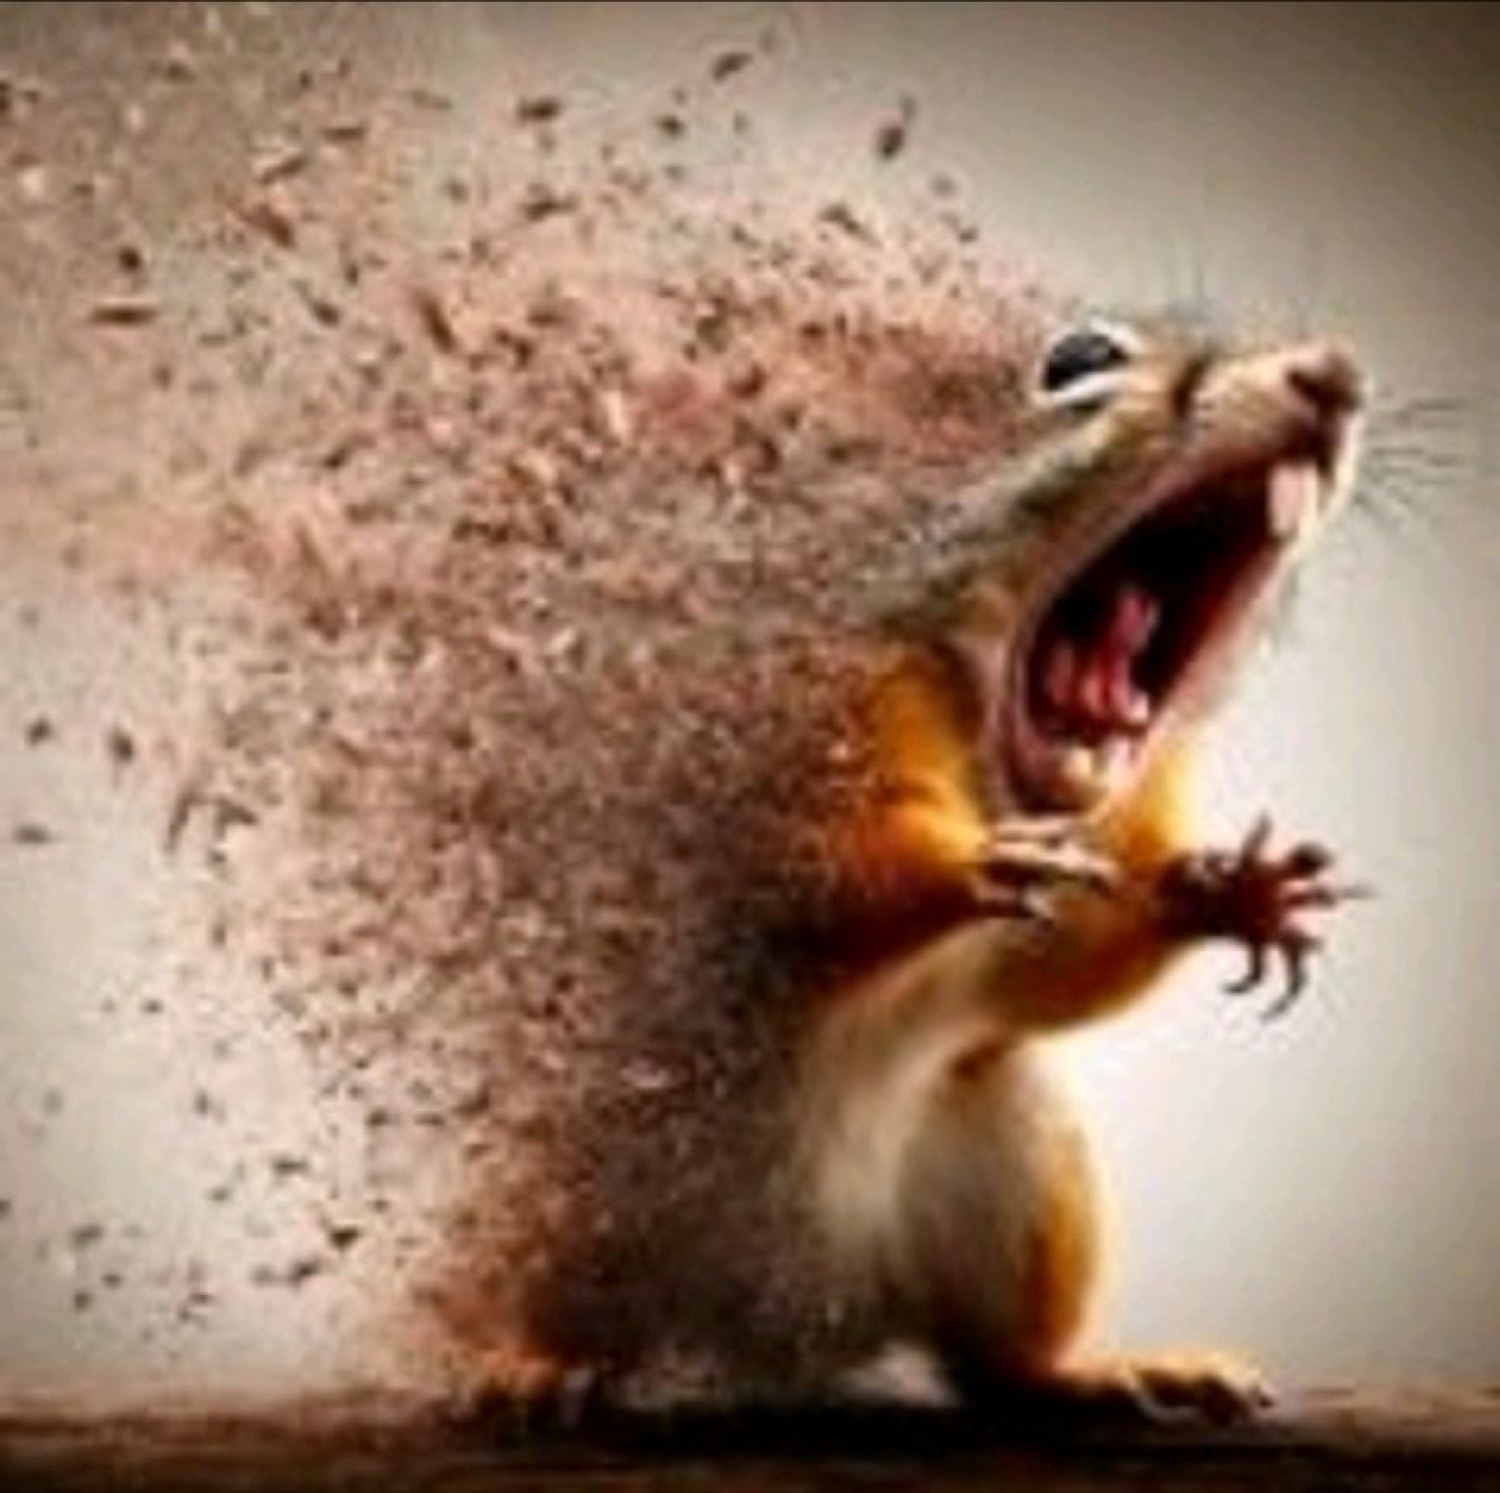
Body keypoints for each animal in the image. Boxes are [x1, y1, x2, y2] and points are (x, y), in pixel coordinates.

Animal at [429, 312, 1368, 1427]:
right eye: (1080, 360)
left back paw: (1107, 1372)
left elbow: (1059, 970)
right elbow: (817, 869)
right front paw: (966, 863)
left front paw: (1229, 890)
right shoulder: (805, 729)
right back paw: (522, 1357)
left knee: (996, 1365)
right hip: (569, 1201)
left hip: (1018, 1175)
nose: (1335, 375)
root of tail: (779, 1320)